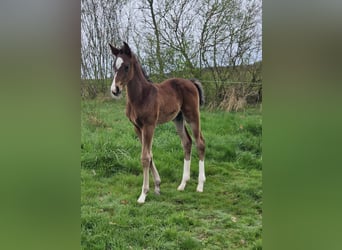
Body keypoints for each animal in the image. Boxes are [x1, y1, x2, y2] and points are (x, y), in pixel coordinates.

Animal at [109, 42, 206, 203]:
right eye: (114, 66)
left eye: (127, 66)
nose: (115, 90)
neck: (141, 96)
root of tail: (191, 82)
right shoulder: (137, 127)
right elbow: (149, 154)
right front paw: (158, 186)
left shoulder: (149, 125)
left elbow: (145, 157)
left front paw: (143, 194)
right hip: (178, 119)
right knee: (187, 142)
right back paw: (183, 184)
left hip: (192, 115)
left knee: (200, 143)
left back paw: (200, 185)